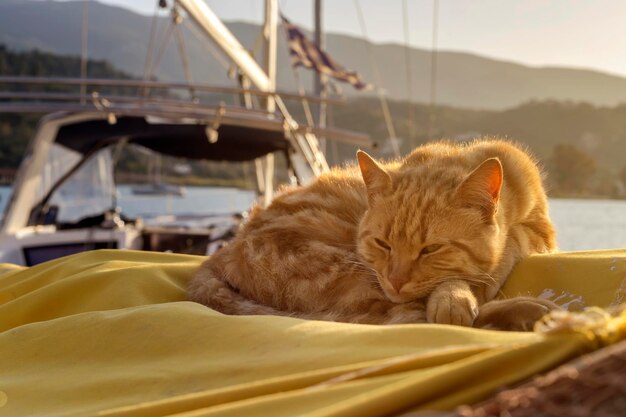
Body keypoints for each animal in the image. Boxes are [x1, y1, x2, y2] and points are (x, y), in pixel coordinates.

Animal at [189, 139, 556, 328]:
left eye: (430, 249)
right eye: (382, 244)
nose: (395, 280)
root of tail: (221, 252)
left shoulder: (538, 232)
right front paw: (456, 297)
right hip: (345, 272)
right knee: (403, 319)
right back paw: (527, 310)